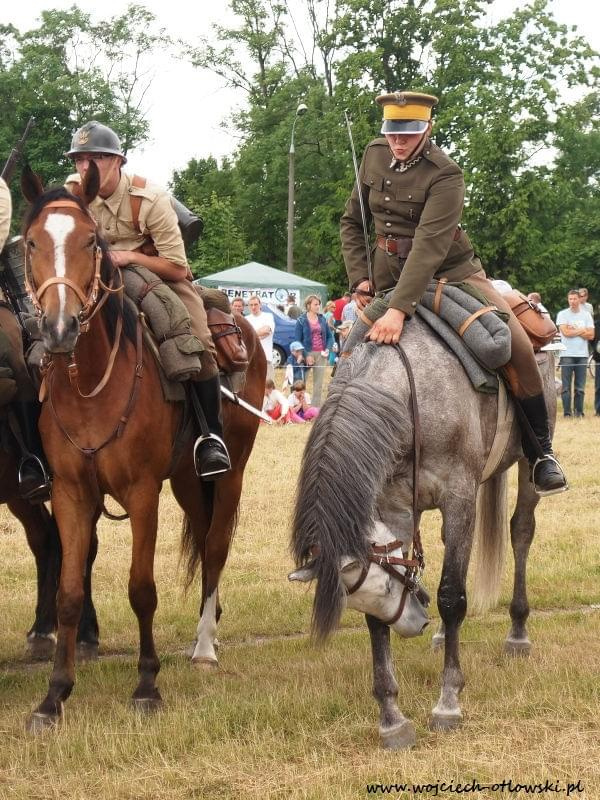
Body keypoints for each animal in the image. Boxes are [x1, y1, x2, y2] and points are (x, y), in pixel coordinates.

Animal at [21, 164, 264, 732]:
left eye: (90, 240)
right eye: (32, 241)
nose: (59, 328)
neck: (92, 384)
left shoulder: (142, 494)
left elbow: (141, 588)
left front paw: (147, 686)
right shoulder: (70, 494)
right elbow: (69, 592)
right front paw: (54, 695)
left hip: (230, 474)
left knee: (215, 548)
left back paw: (204, 646)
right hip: (188, 481)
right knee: (202, 534)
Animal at [288, 318, 556, 752]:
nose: (415, 624)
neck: (411, 395)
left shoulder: (459, 497)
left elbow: (452, 596)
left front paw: (448, 701)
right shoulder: (395, 508)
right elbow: (379, 623)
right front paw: (391, 717)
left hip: (527, 466)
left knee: (521, 531)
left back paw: (517, 632)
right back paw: (446, 637)